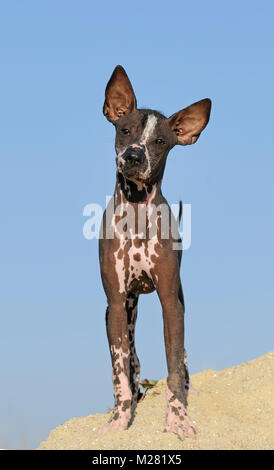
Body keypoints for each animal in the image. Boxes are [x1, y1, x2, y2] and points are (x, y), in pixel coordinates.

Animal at [98, 66, 212, 440]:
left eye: (160, 142)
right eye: (125, 130)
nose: (134, 156)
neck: (135, 214)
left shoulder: (170, 304)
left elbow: (174, 366)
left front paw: (178, 420)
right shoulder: (116, 303)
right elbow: (120, 370)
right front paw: (120, 420)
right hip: (125, 310)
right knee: (132, 361)